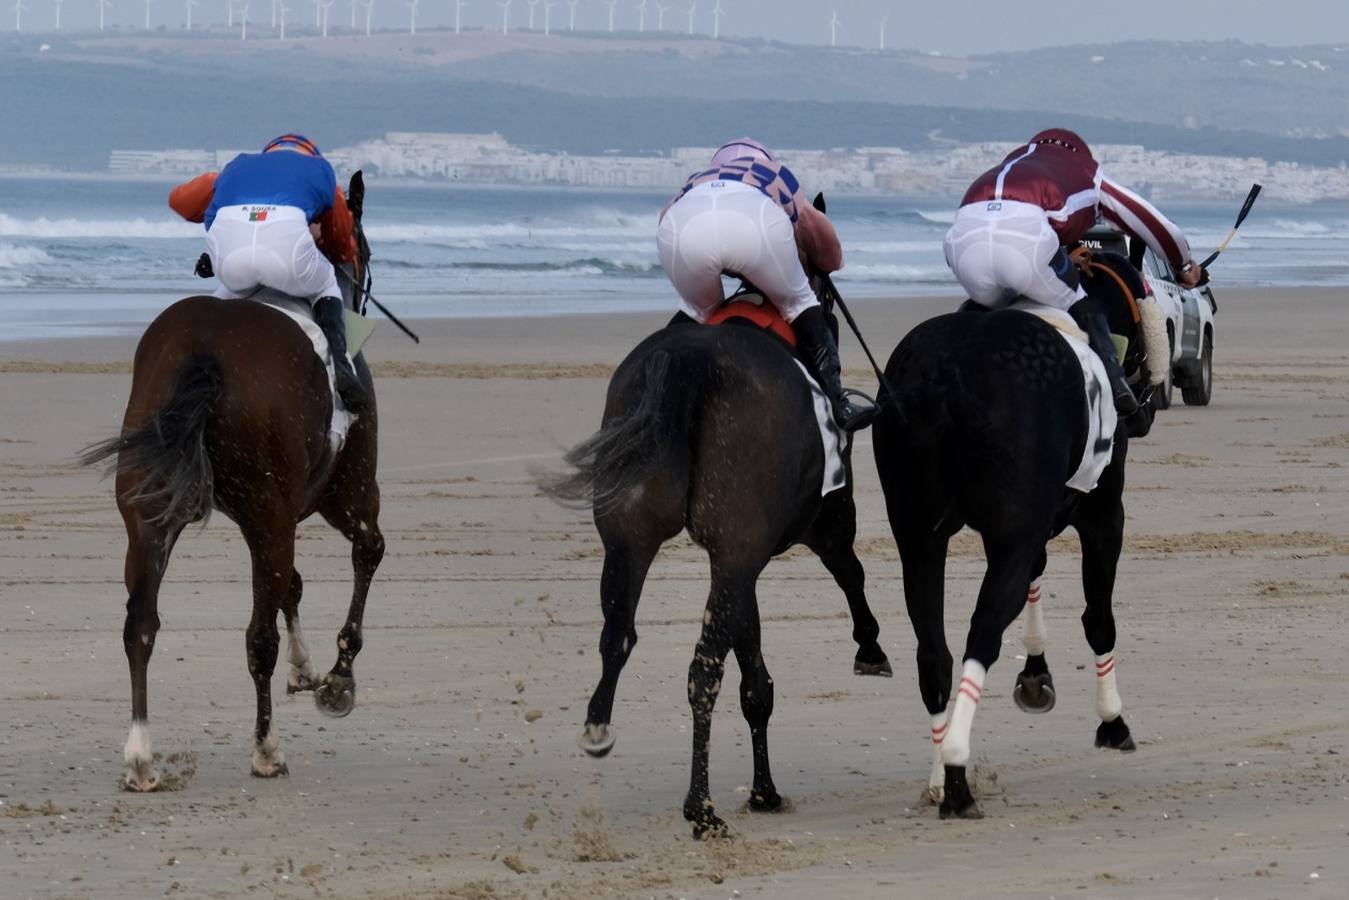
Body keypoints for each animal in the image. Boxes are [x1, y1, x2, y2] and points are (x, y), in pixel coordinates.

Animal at [81, 172, 383, 793]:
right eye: (363, 243)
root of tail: (205, 348)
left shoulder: (268, 513)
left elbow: (290, 584)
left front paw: (307, 668)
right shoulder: (340, 494)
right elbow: (366, 552)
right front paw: (337, 680)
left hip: (149, 508)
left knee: (139, 623)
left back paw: (141, 757)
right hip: (273, 508)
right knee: (256, 638)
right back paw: (266, 749)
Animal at [542, 296, 890, 836]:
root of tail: (693, 361)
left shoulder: (737, 562)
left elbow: (755, 678)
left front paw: (764, 790)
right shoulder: (816, 523)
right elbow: (849, 573)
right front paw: (870, 647)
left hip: (629, 535)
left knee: (618, 634)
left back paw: (598, 727)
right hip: (738, 542)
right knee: (703, 669)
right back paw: (700, 807)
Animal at [874, 252, 1149, 814]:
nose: (1144, 397)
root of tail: (944, 373)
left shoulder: (1024, 526)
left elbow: (1035, 583)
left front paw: (1036, 674)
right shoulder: (1101, 515)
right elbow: (1098, 618)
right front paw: (1112, 720)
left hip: (918, 538)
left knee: (933, 652)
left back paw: (941, 773)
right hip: (1007, 538)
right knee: (982, 633)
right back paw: (957, 772)